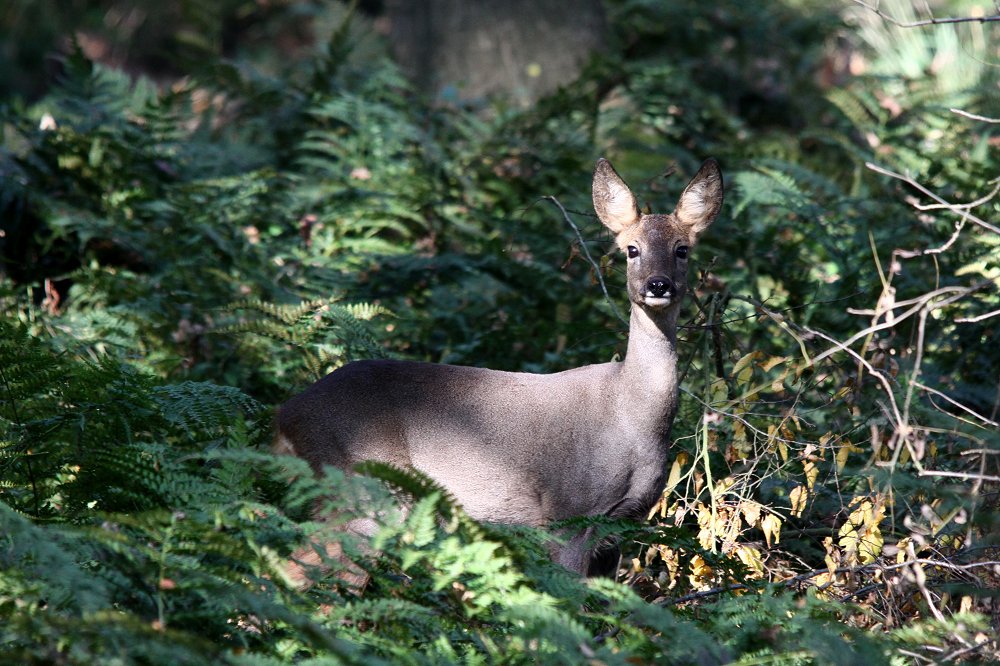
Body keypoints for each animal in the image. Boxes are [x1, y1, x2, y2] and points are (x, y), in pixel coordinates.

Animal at [278, 157, 724, 576]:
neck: (631, 416)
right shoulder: (567, 512)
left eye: (682, 249)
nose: (658, 285)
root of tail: (285, 415)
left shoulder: (618, 530)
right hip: (364, 490)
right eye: (631, 249)